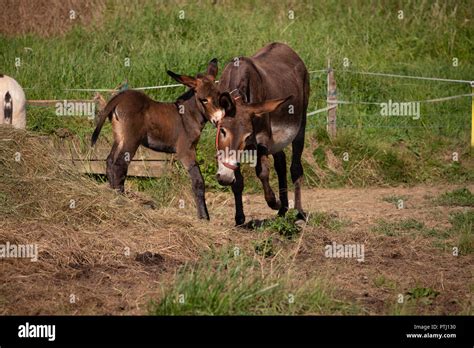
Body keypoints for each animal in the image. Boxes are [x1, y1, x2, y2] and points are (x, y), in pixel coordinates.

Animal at [91, 58, 223, 219]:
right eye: (204, 100)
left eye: (219, 96)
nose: (219, 120)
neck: (187, 115)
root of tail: (119, 97)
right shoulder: (186, 151)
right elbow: (198, 180)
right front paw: (204, 217)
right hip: (131, 139)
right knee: (119, 165)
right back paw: (122, 201)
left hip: (119, 137)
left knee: (110, 161)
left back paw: (113, 195)